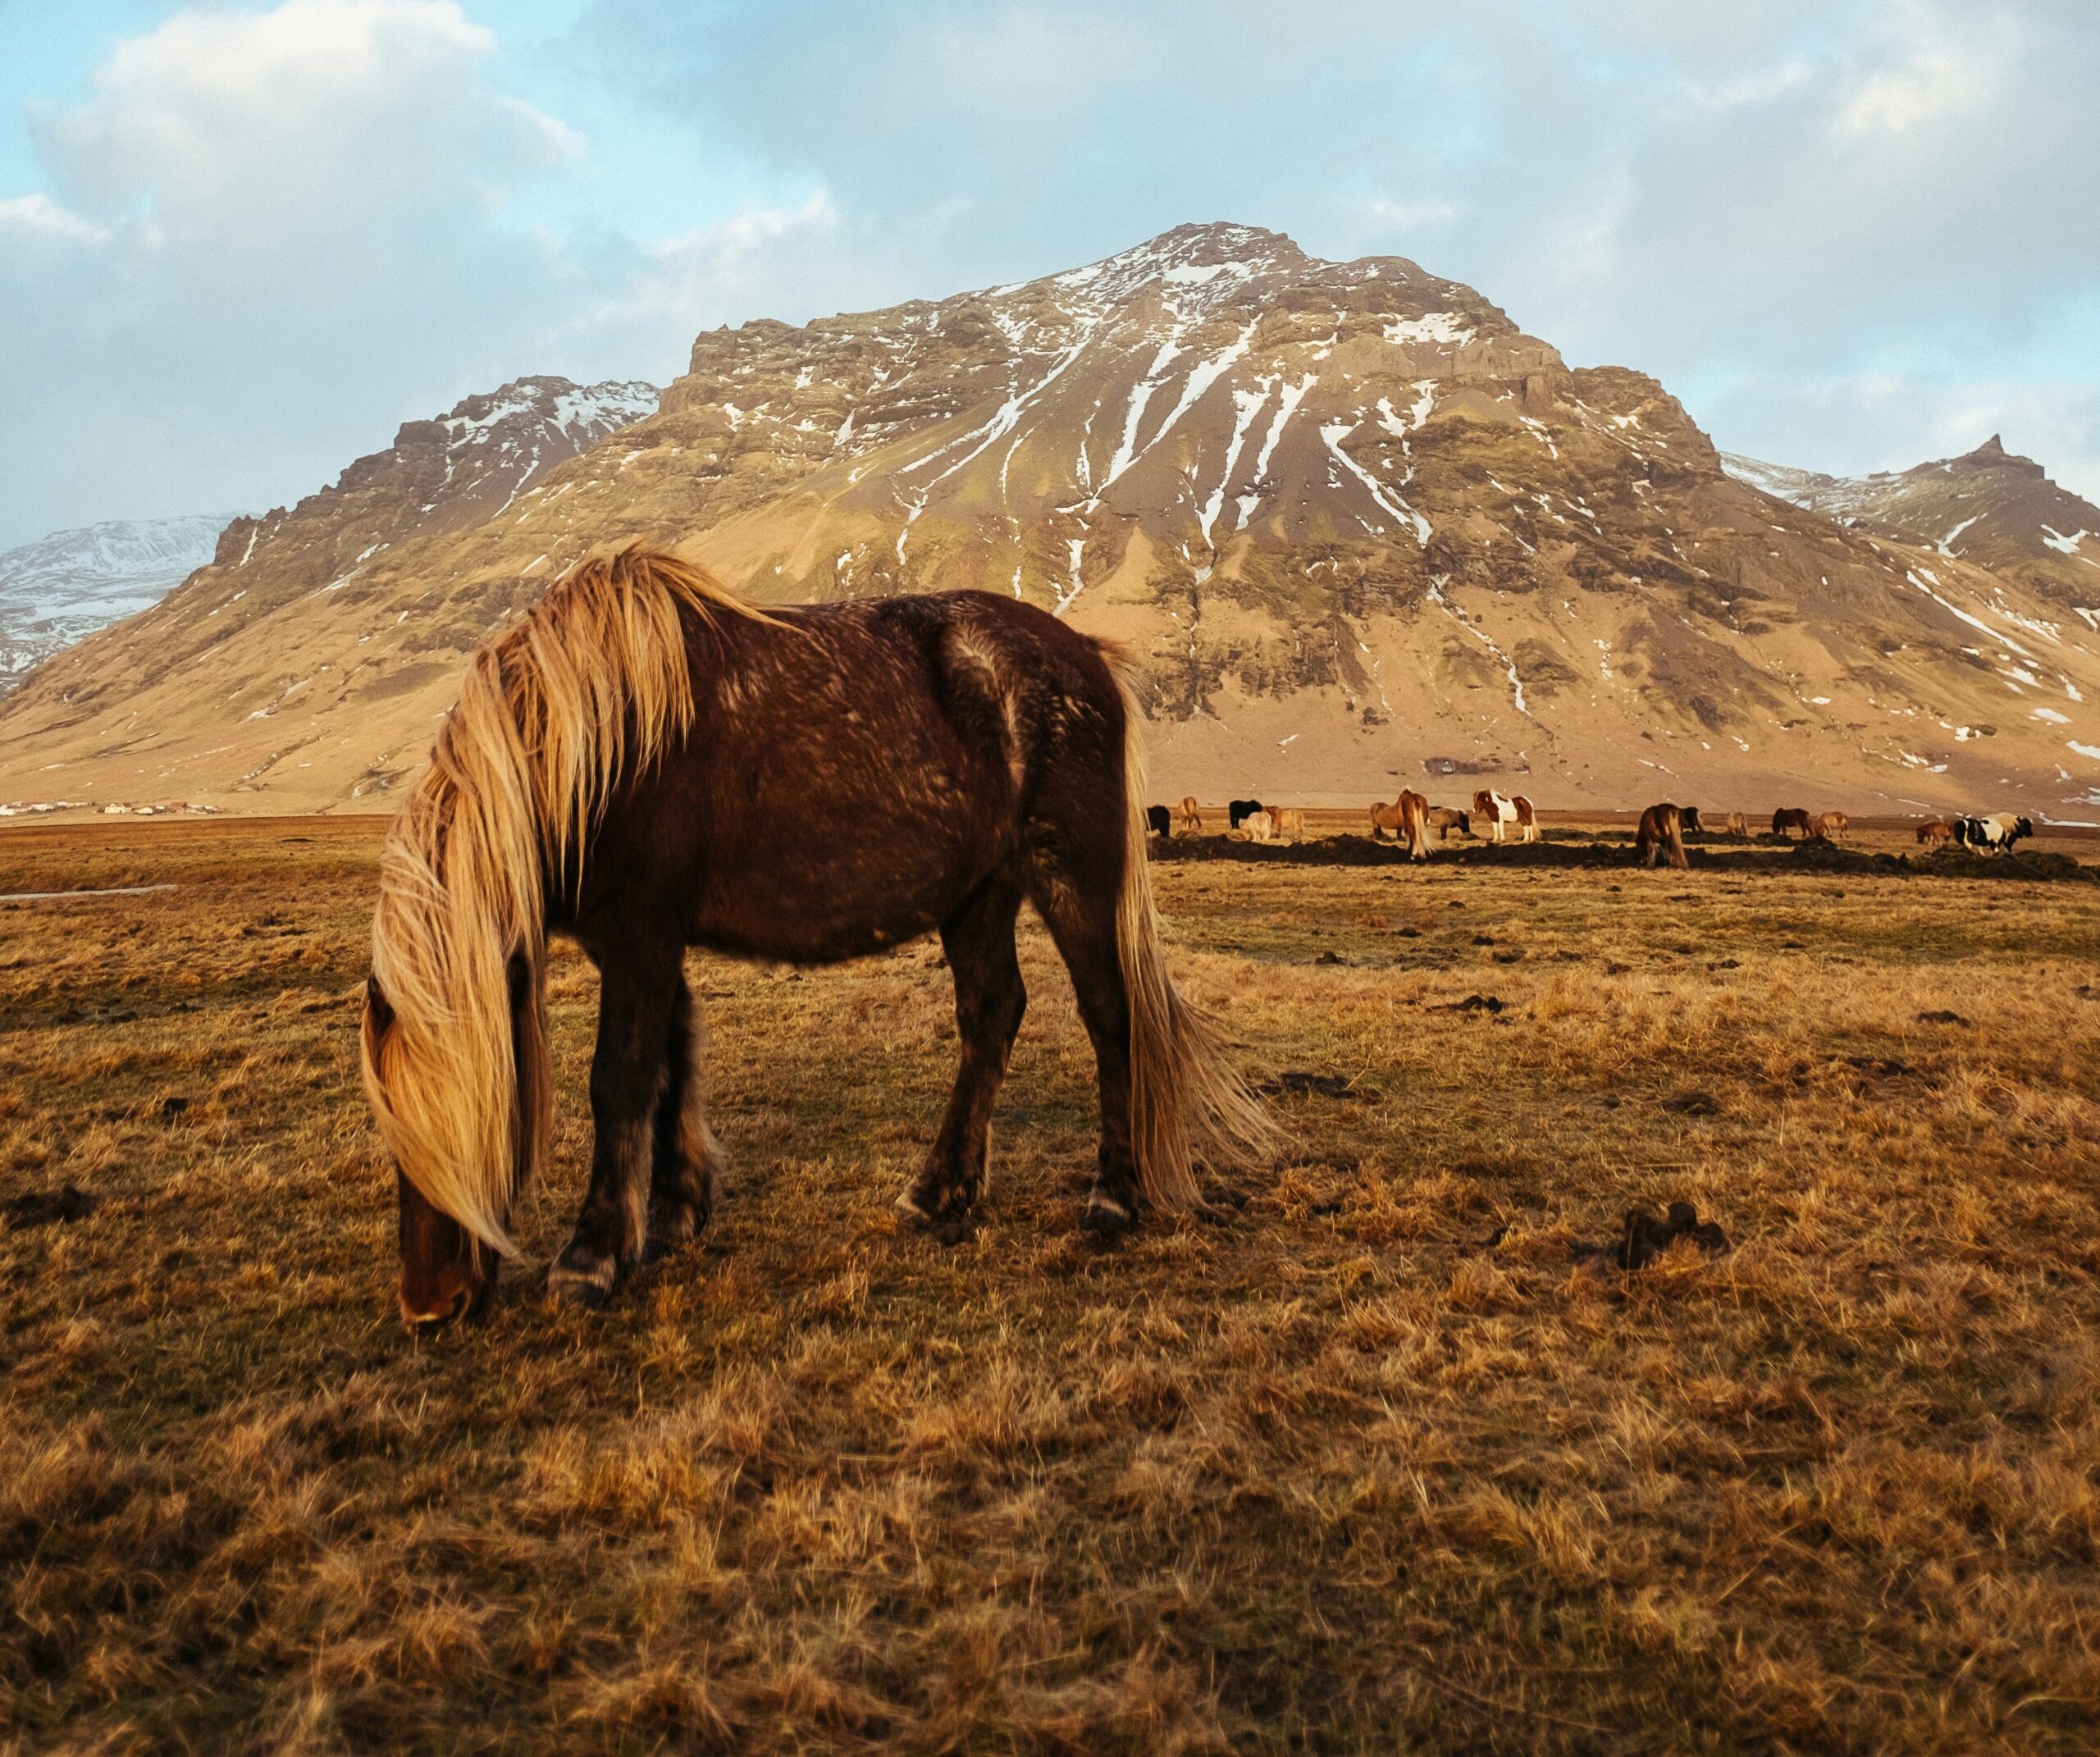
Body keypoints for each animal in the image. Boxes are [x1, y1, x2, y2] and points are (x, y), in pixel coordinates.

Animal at [361, 549, 1278, 1325]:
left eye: (465, 1112)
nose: (430, 1308)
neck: (598, 741)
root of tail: (1083, 653)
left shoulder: (640, 933)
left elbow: (620, 1078)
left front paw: (590, 1259)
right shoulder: (652, 941)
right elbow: (672, 1061)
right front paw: (673, 1214)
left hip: (1069, 879)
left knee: (1109, 1018)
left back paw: (1111, 1199)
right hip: (978, 896)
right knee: (992, 1015)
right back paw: (940, 1192)